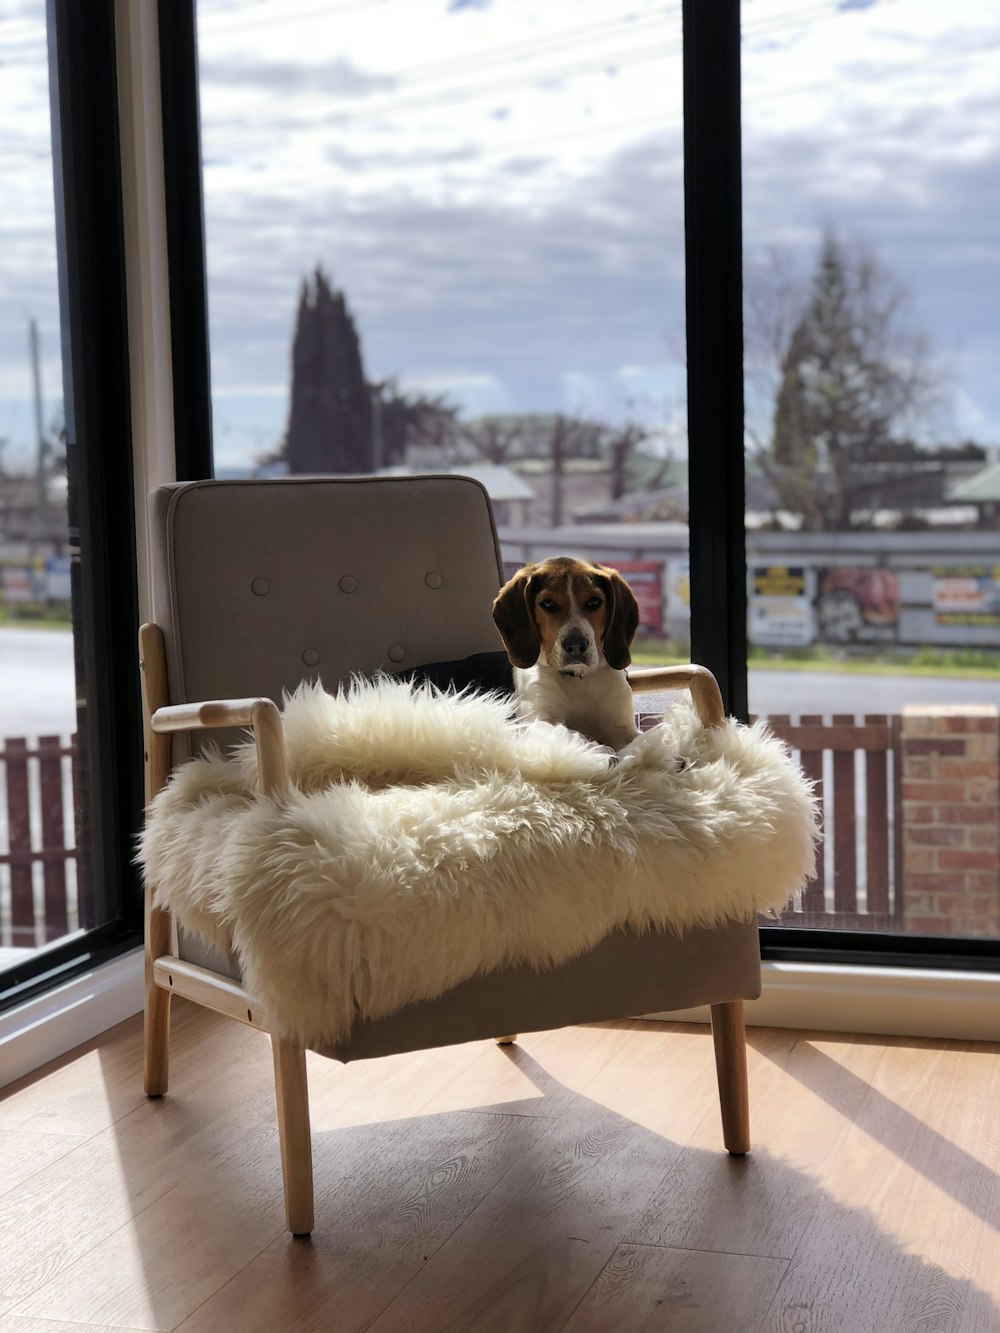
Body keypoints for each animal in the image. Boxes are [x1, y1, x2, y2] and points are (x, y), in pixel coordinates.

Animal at [493, 557, 642, 757]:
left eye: (594, 602)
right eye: (548, 604)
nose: (576, 645)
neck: (578, 678)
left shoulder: (623, 729)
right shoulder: (537, 722)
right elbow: (568, 732)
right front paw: (596, 749)